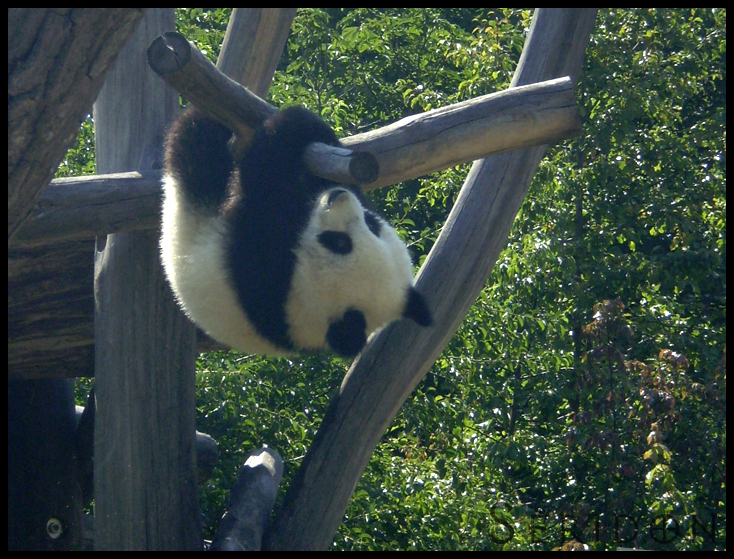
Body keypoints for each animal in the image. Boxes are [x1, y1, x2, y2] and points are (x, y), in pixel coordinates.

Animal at [160, 106, 432, 356]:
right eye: (372, 224)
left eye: (340, 242)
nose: (337, 196)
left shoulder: (267, 276)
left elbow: (262, 182)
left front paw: (291, 124)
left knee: (195, 151)